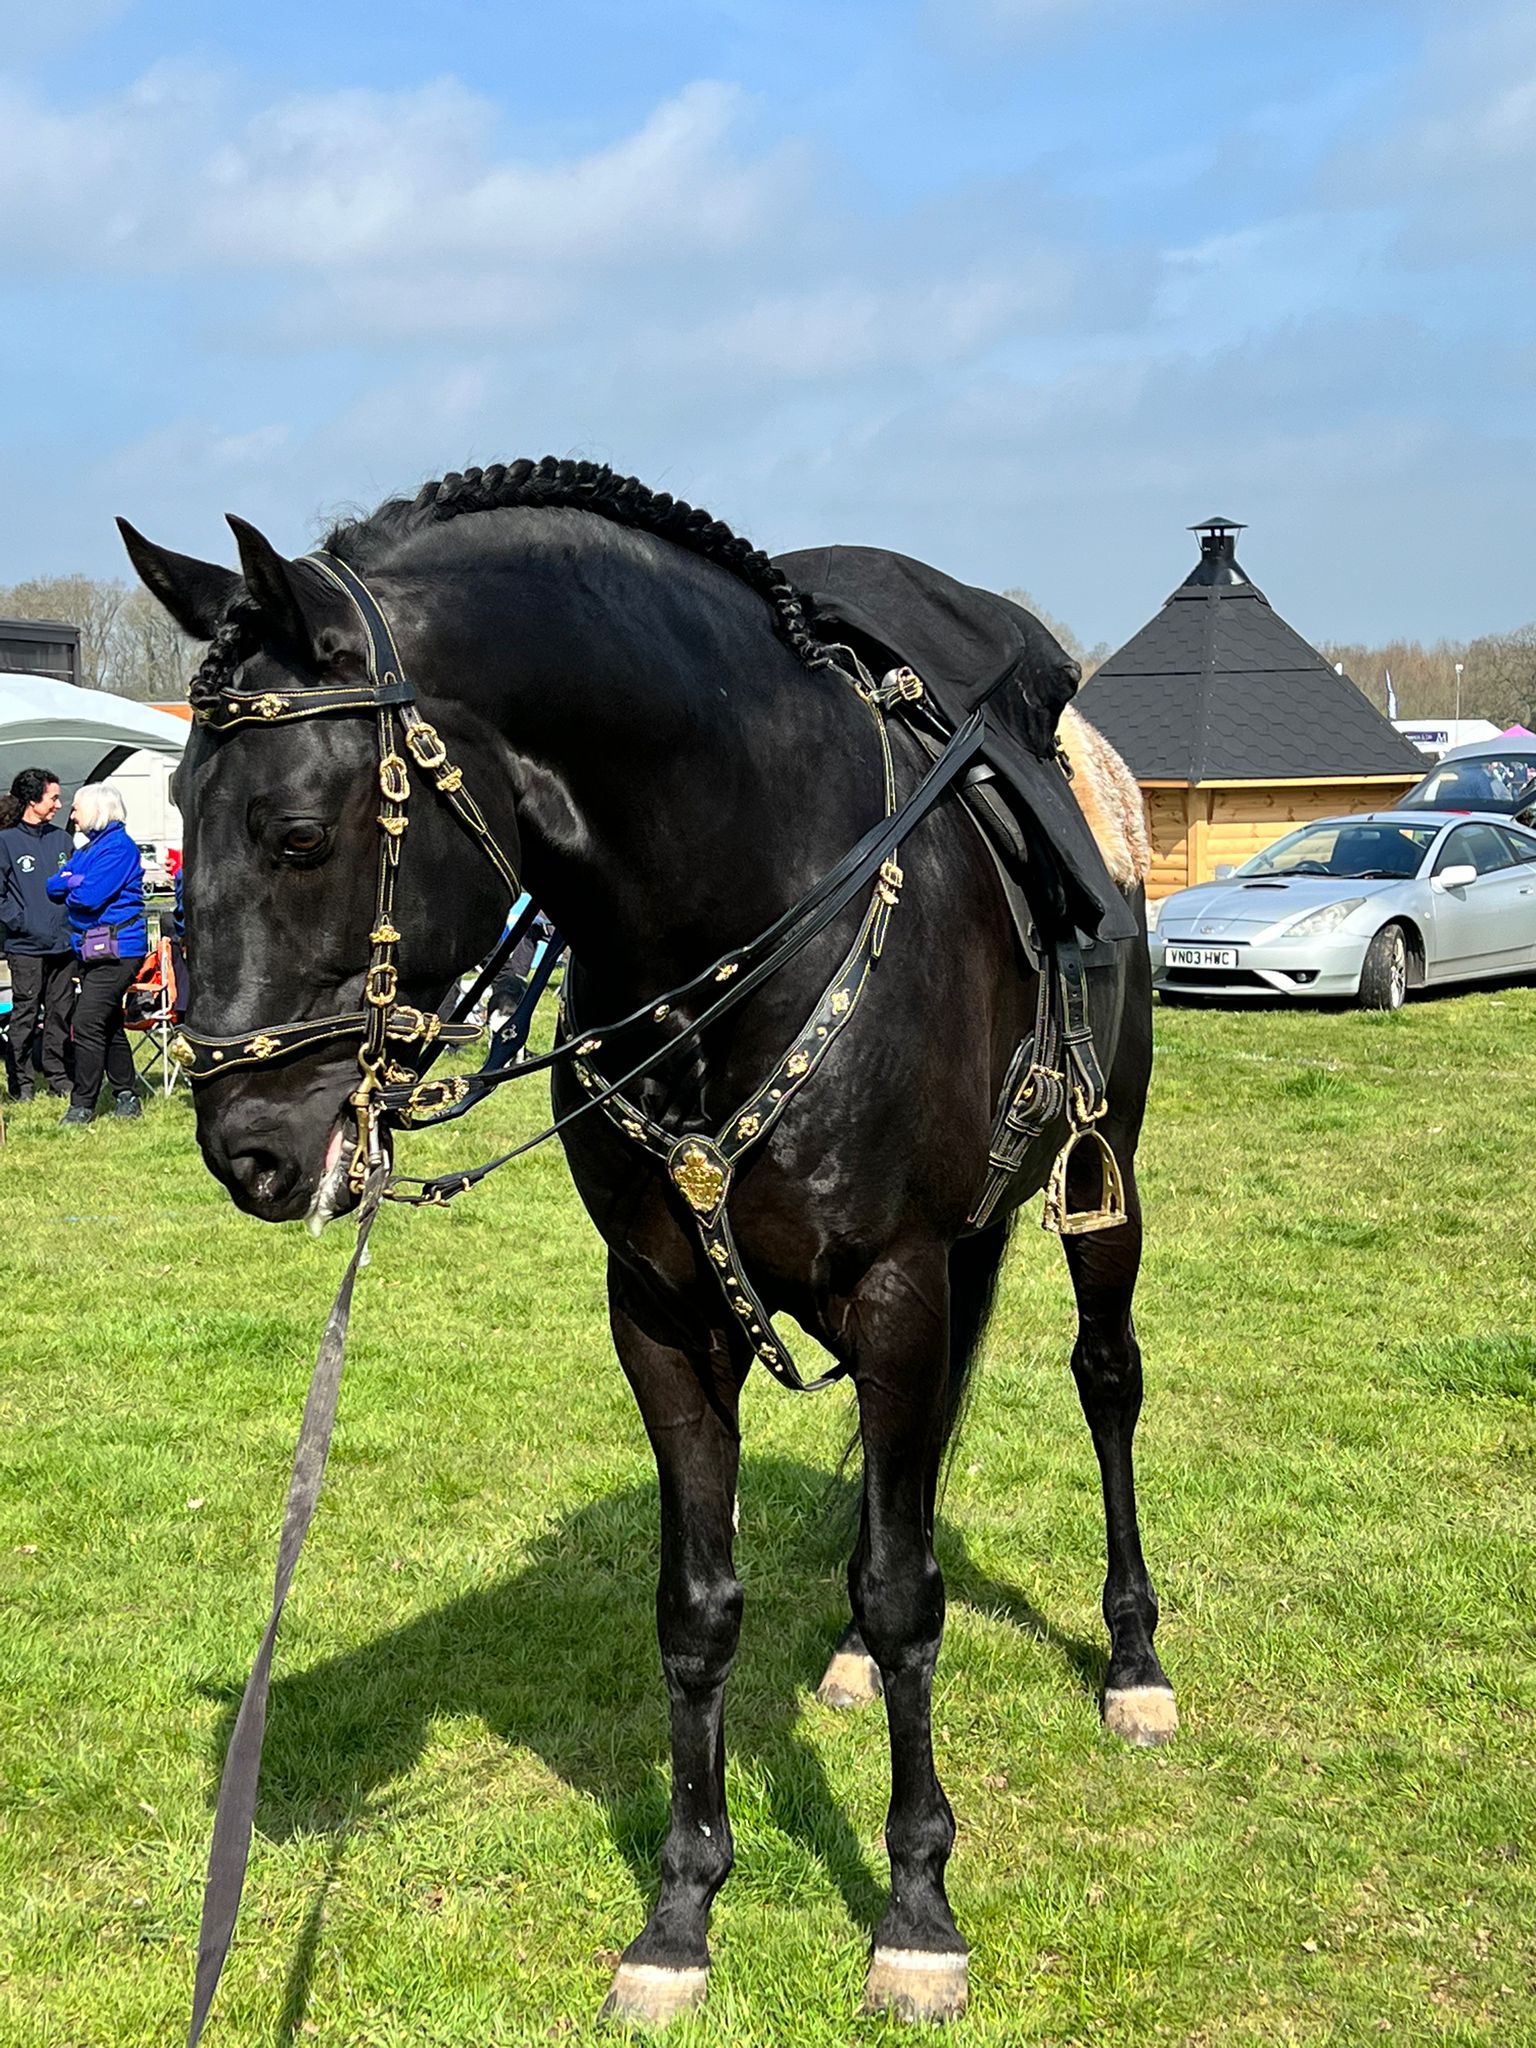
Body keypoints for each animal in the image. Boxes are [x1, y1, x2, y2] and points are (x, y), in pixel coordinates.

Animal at [123, 460, 1179, 2015]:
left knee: (1103, 1384)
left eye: (300, 832)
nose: (249, 1147)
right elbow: (700, 1607)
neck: (751, 909)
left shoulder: (898, 1288)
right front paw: (681, 1911)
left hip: (1100, 1185)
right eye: (181, 820)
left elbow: (910, 1591)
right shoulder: (665, 1317)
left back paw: (1132, 1657)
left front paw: (917, 1908)